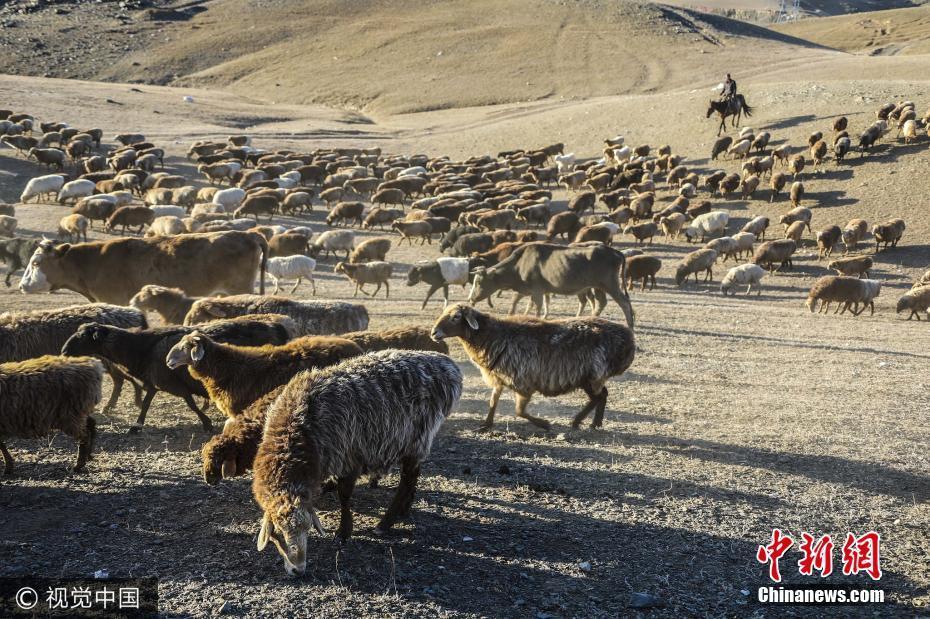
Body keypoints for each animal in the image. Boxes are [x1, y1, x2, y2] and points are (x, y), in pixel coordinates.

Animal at [434, 304, 636, 432]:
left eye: (456, 317)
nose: (434, 332)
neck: (492, 336)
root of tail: (629, 340)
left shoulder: (523, 383)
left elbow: (519, 411)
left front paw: (544, 424)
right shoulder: (499, 378)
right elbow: (493, 402)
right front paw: (486, 425)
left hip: (591, 376)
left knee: (598, 397)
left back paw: (578, 421)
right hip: (592, 378)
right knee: (602, 396)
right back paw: (595, 423)